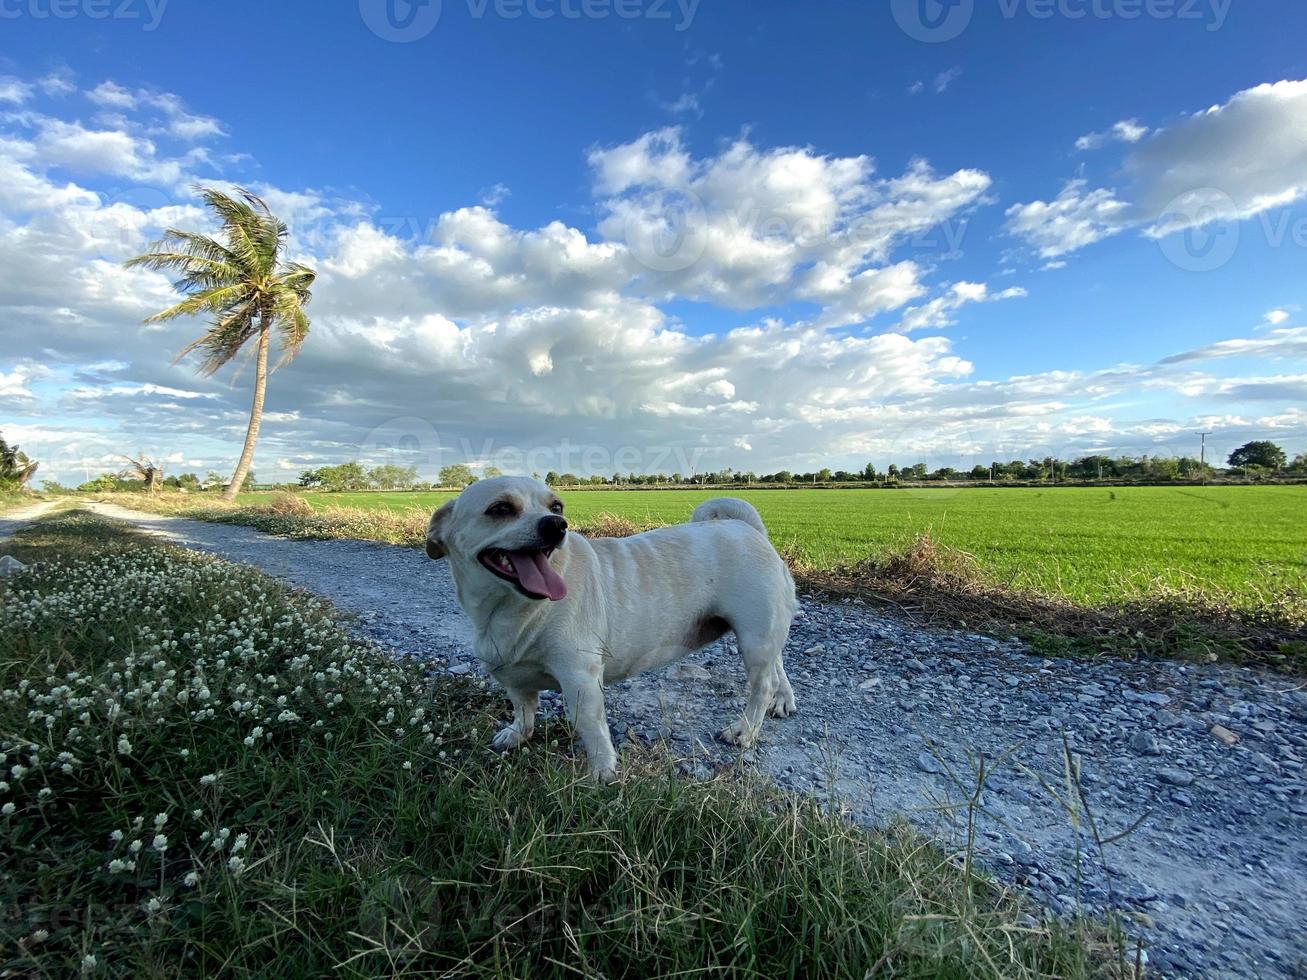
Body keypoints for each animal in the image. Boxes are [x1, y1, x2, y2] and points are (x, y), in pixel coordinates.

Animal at [428, 478, 794, 783]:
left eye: (556, 506)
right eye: (500, 509)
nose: (557, 524)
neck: (511, 609)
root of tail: (747, 528)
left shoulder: (579, 678)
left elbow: (590, 726)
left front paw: (602, 771)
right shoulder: (513, 677)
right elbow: (523, 709)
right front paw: (518, 734)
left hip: (755, 637)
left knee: (762, 685)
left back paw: (745, 729)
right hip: (763, 636)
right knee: (778, 666)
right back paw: (783, 700)